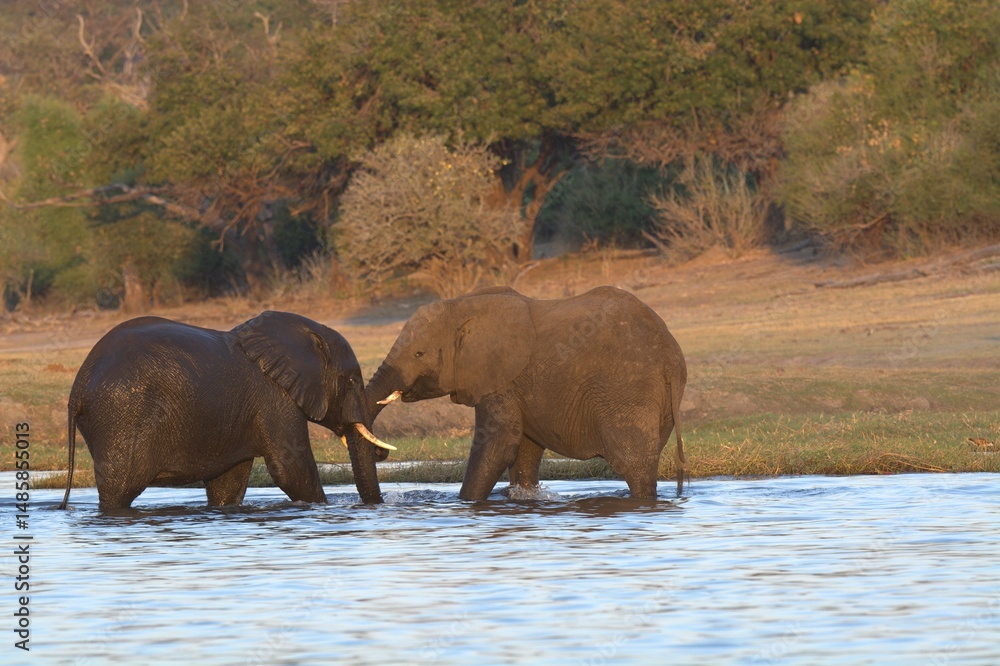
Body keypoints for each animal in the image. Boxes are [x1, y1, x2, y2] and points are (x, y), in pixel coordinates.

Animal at [58, 311, 393, 511]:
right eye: (352, 380)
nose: (382, 453)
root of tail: (78, 386)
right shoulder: (275, 397)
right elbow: (290, 469)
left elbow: (228, 484)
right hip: (121, 414)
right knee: (120, 489)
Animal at [365, 285, 687, 501]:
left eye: (419, 354)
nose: (381, 452)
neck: (462, 306)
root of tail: (669, 354)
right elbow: (524, 451)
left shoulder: (501, 379)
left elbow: (497, 444)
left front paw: (465, 503)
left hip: (627, 388)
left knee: (632, 463)